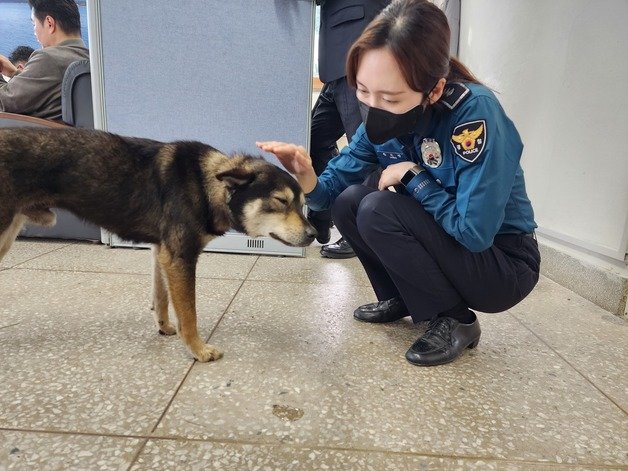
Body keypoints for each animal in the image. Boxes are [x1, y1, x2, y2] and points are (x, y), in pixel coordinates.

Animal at [0, 127, 314, 364]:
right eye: (281, 201)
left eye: (302, 203)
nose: (314, 234)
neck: (206, 185)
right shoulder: (180, 257)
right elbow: (189, 313)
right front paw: (198, 349)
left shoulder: (162, 252)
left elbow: (162, 297)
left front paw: (164, 327)